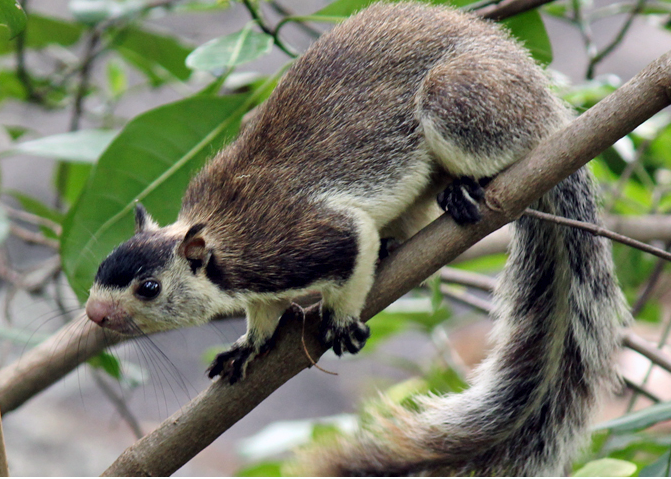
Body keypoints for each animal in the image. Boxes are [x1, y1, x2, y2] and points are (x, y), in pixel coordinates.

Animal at [84, 2, 630, 475]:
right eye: (98, 272)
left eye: (149, 288)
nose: (94, 314)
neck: (221, 245)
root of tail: (540, 89)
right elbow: (264, 314)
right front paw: (249, 344)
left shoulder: (299, 240)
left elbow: (352, 246)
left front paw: (341, 321)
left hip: (463, 102)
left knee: (505, 145)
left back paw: (467, 189)